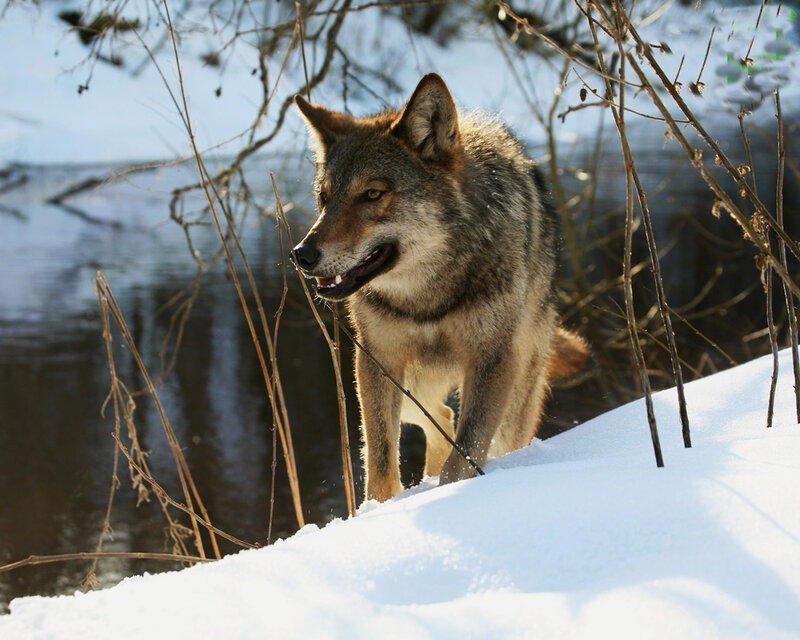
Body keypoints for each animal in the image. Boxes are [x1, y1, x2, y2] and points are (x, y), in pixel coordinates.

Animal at [293, 73, 589, 502]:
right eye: (324, 198)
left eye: (372, 194)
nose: (302, 254)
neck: (428, 297)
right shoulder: (378, 359)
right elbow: (381, 465)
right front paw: (377, 512)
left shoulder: (491, 359)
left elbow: (462, 460)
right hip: (399, 382)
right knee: (442, 419)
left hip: (515, 387)